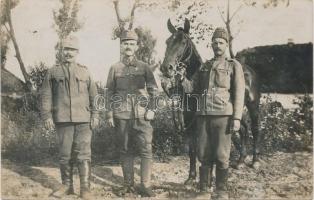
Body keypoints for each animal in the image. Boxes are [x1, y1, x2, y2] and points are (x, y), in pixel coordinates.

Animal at [161, 18, 262, 184]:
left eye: (183, 42)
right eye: (167, 41)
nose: (166, 68)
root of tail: (250, 71)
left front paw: (211, 177)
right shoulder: (189, 123)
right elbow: (193, 150)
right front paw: (191, 177)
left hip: (253, 107)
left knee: (255, 129)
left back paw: (255, 161)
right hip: (237, 111)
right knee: (243, 129)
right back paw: (240, 161)